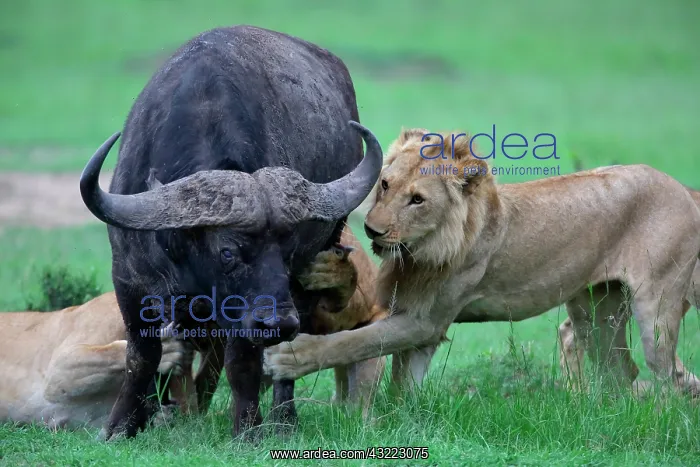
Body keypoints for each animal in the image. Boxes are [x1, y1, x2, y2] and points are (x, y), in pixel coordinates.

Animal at [79, 25, 382, 440]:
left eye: (287, 252)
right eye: (228, 252)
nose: (277, 323)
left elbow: (243, 362)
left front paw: (247, 428)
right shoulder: (128, 278)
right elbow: (142, 355)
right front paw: (123, 425)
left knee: (285, 355)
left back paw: (283, 420)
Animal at [264, 127, 700, 399]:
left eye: (417, 200)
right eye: (385, 184)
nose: (372, 229)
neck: (422, 249)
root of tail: (680, 187)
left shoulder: (425, 322)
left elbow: (353, 342)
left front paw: (288, 358)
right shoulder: (411, 317)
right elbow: (400, 384)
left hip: (656, 309)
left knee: (665, 375)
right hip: (596, 311)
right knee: (620, 370)